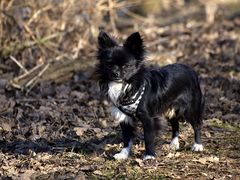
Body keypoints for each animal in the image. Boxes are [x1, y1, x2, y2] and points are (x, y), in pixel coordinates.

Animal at [95, 31, 204, 160]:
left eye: (126, 65)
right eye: (109, 65)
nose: (115, 73)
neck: (127, 85)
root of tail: (191, 70)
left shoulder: (148, 119)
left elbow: (148, 138)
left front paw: (149, 156)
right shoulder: (125, 118)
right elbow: (126, 138)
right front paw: (123, 154)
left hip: (189, 109)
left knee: (196, 124)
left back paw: (197, 145)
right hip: (169, 107)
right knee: (175, 124)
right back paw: (174, 143)